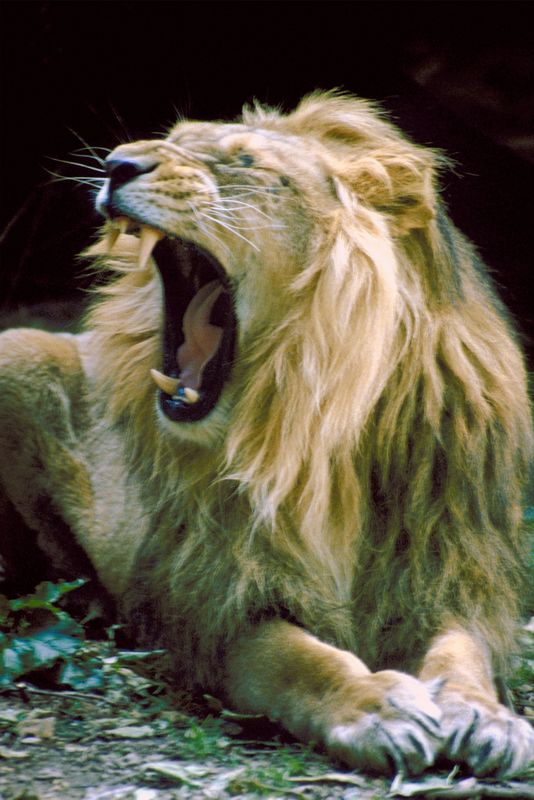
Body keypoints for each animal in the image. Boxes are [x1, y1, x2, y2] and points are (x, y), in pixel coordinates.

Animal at [0, 91, 533, 777]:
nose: (117, 164)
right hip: (18, 353)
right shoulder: (216, 596)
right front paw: (377, 707)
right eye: (172, 138)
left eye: (244, 162)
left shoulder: (448, 566)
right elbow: (296, 659)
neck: (311, 416)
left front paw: (485, 716)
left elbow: (463, 650)